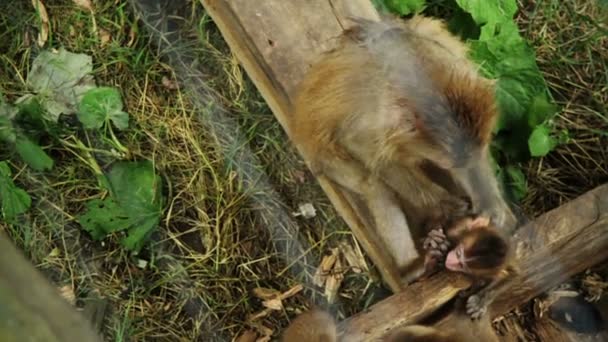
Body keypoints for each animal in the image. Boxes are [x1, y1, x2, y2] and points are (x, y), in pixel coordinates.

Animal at [290, 14, 516, 278]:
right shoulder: (381, 120)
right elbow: (360, 147)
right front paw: (446, 206)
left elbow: (474, 159)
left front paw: (492, 208)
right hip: (325, 157)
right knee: (372, 183)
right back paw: (412, 268)